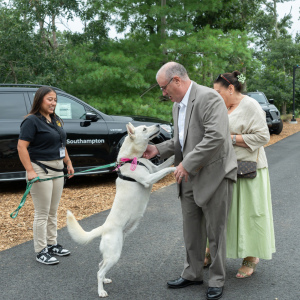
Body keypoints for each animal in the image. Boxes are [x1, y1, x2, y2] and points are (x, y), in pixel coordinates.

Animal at [67, 122, 175, 298]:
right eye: (144, 129)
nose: (159, 124)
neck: (132, 159)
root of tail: (104, 228)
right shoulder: (149, 178)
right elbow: (167, 170)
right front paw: (178, 167)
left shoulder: (153, 169)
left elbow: (168, 162)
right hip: (114, 254)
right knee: (99, 272)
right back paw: (101, 291)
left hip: (112, 253)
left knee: (100, 266)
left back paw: (104, 281)